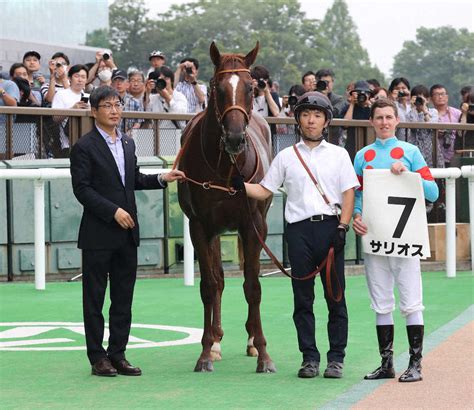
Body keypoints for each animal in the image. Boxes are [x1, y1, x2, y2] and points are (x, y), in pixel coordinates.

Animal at [177, 40, 274, 372]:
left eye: (251, 87)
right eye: (217, 88)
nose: (234, 138)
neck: (226, 168)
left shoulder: (254, 224)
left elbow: (253, 286)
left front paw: (263, 351)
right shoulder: (200, 225)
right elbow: (209, 285)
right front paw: (206, 351)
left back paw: (251, 341)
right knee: (218, 279)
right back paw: (217, 341)